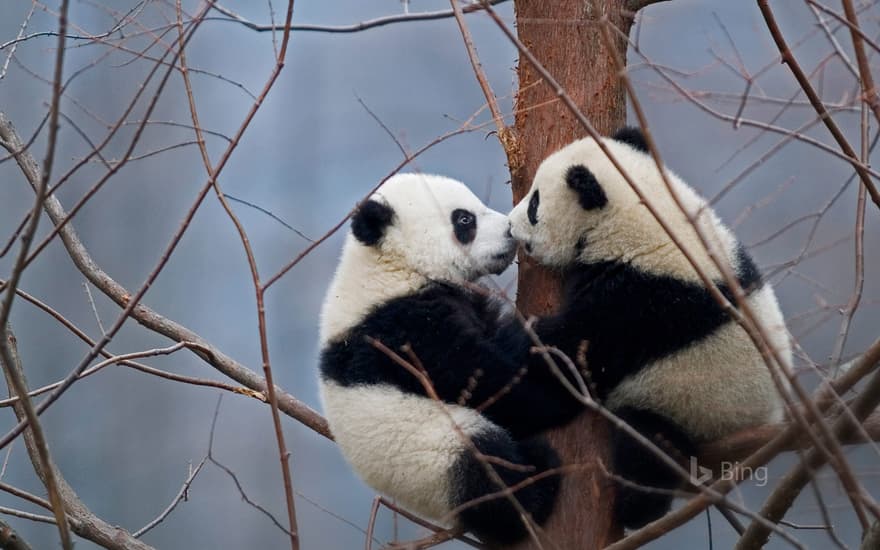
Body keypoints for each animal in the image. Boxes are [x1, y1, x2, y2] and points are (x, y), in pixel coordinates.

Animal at [318, 175, 584, 544]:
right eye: (464, 220)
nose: (510, 231)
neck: (392, 267)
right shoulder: (403, 331)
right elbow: (482, 379)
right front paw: (563, 391)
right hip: (436, 456)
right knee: (486, 471)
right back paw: (536, 483)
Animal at [508, 128, 792, 532]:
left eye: (534, 205)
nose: (508, 225)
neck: (639, 212)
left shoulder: (642, 299)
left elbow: (578, 348)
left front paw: (524, 331)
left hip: (689, 408)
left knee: (648, 447)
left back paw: (635, 509)